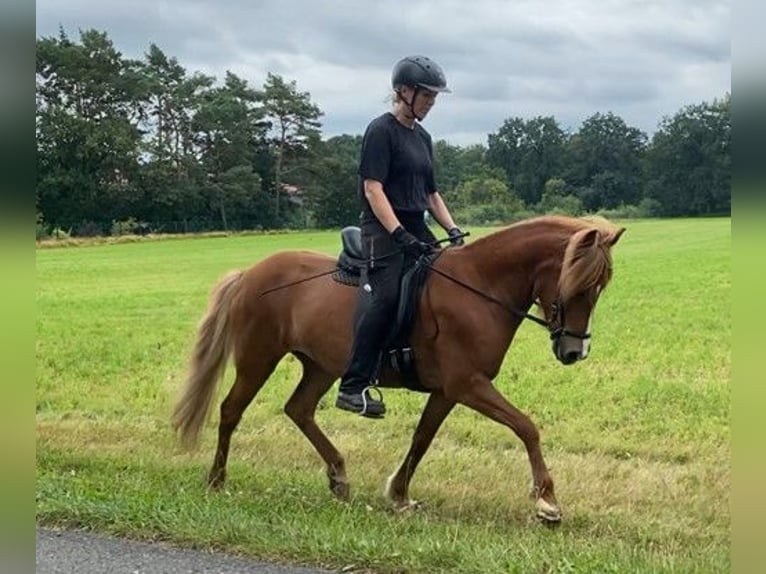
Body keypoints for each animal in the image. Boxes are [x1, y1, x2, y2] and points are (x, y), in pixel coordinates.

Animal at [172, 214, 624, 524]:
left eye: (601, 287)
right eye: (580, 285)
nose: (574, 351)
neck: (481, 287)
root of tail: (250, 273)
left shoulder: (448, 391)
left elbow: (422, 439)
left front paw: (400, 494)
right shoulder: (468, 384)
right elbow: (526, 427)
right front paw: (547, 501)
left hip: (320, 366)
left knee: (298, 409)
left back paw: (339, 476)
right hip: (258, 358)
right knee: (231, 410)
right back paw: (217, 480)